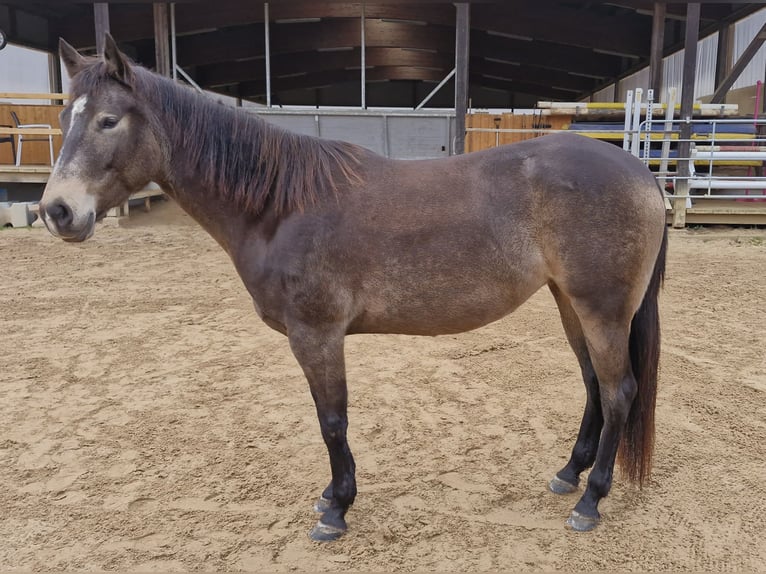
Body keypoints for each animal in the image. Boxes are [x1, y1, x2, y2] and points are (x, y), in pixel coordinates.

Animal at [41, 35, 667, 541]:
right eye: (66, 119)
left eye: (108, 120)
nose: (57, 211)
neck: (280, 207)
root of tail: (640, 172)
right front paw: (332, 498)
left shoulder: (316, 334)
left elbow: (332, 420)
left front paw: (336, 509)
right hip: (571, 303)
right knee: (593, 384)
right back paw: (568, 474)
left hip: (602, 309)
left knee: (619, 392)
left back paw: (591, 500)